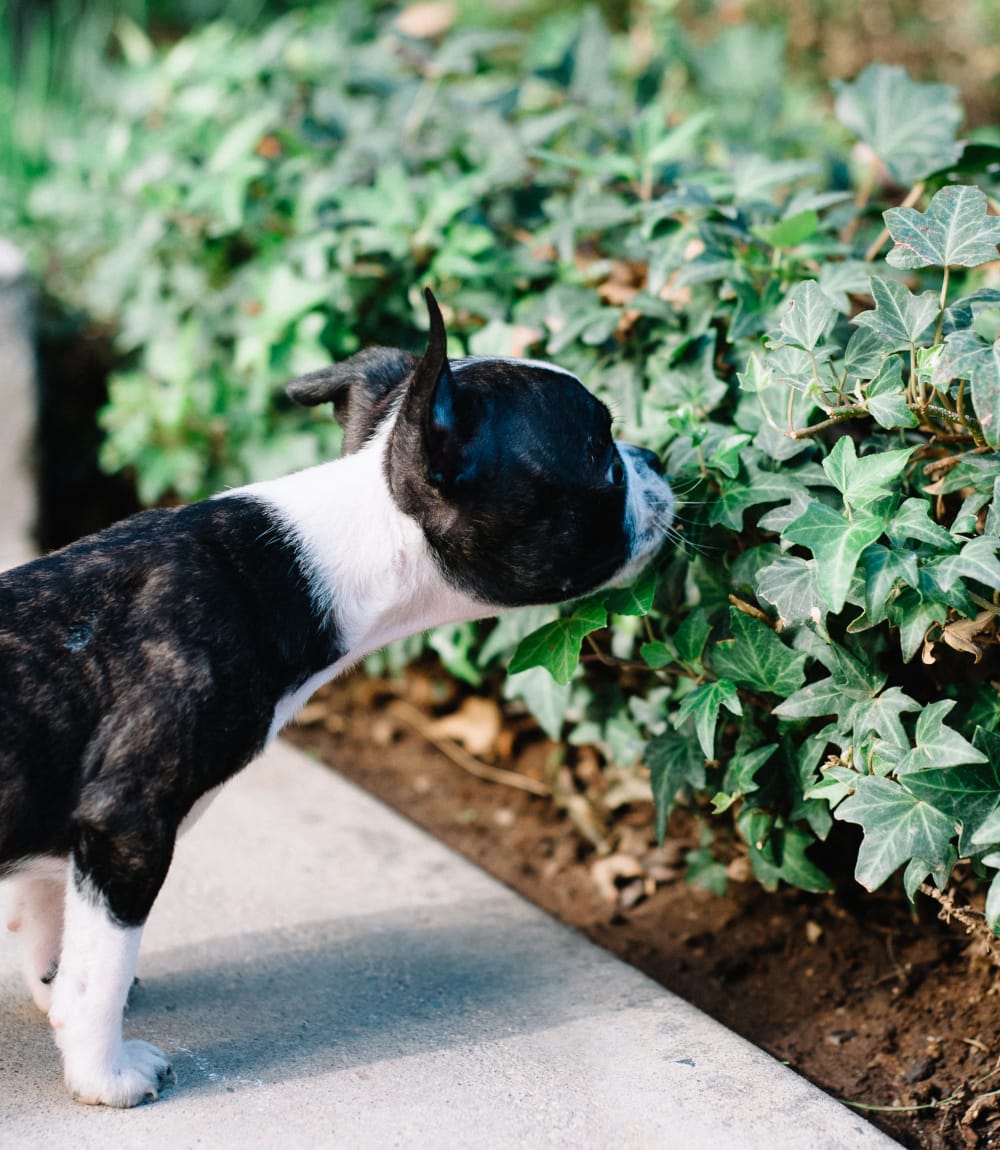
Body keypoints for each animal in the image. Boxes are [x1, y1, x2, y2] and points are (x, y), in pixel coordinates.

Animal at [0, 287, 675, 1104]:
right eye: (603, 456)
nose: (656, 459)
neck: (327, 552)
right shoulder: (126, 821)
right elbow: (99, 970)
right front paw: (105, 1073)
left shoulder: (68, 829)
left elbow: (52, 927)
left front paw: (54, 1000)